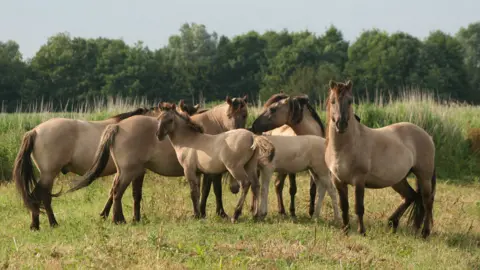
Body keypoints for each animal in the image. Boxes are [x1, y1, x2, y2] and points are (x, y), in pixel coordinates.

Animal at [14, 100, 200, 230]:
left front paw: (105, 215)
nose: (196, 130)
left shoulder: (125, 171)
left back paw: (38, 224)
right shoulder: (135, 171)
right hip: (49, 173)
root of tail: (35, 131)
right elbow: (131, 194)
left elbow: (113, 192)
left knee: (39, 196)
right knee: (42, 196)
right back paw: (49, 223)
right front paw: (124, 217)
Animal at [67, 96, 249, 224]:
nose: (238, 131)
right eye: (229, 114)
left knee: (115, 190)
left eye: (245, 114)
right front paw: (215, 213)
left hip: (127, 170)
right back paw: (118, 219)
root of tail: (117, 126)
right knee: (117, 190)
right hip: (128, 171)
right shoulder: (210, 171)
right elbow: (211, 191)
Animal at [326, 79, 436, 238]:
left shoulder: (359, 180)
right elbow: (344, 206)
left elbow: (359, 207)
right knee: (411, 196)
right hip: (398, 180)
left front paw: (362, 231)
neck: (344, 147)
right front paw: (345, 230)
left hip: (424, 177)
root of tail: (428, 136)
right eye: (332, 101)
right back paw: (393, 223)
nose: (341, 124)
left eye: (350, 101)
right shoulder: (338, 181)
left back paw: (425, 232)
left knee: (427, 201)